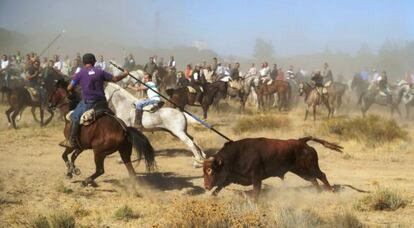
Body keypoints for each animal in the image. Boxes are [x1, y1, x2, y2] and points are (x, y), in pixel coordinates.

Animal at [204, 136, 342, 199]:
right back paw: (317, 193)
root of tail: (302, 141)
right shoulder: (231, 178)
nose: (206, 186)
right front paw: (212, 196)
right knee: (313, 179)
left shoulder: (256, 178)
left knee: (321, 175)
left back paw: (331, 191)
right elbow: (219, 187)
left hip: (310, 167)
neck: (236, 155)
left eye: (210, 170)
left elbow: (256, 191)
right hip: (301, 171)